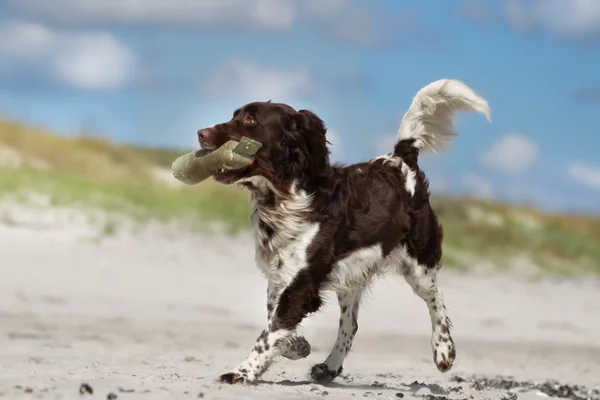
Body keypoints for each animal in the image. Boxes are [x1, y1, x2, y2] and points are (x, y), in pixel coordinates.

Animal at [195, 79, 490, 384]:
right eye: (235, 115)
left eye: (250, 120)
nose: (200, 133)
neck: (286, 197)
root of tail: (399, 161)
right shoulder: (281, 278)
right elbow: (276, 321)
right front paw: (297, 345)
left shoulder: (302, 282)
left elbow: (269, 333)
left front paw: (241, 372)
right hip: (351, 275)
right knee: (351, 324)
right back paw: (329, 366)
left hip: (418, 263)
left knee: (436, 298)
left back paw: (443, 350)